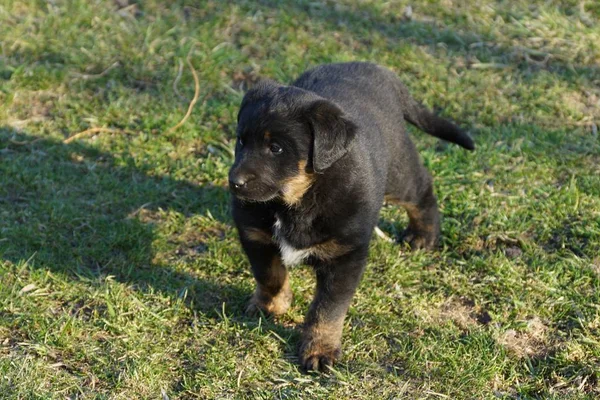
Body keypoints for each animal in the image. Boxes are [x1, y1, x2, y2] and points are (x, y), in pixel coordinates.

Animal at [229, 62, 474, 372]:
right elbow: (270, 275)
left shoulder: (344, 255)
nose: (234, 182)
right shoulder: (255, 236)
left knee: (422, 190)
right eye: (241, 141)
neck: (299, 199)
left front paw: (320, 350)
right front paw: (271, 306)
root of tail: (382, 71)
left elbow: (327, 309)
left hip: (398, 174)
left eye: (276, 148)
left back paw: (423, 236)